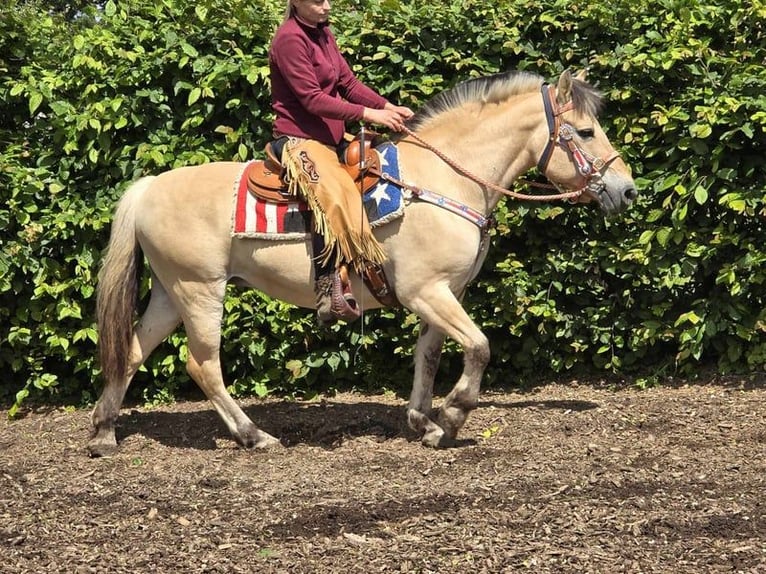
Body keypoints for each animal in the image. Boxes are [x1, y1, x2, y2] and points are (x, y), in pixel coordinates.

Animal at [90, 71, 640, 460]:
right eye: (585, 131)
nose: (627, 191)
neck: (441, 179)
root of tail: (148, 187)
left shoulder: (445, 293)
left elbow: (428, 356)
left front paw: (424, 423)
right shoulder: (426, 291)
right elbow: (479, 347)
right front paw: (453, 416)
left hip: (170, 291)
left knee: (131, 351)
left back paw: (103, 431)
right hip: (201, 289)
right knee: (202, 364)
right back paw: (254, 435)